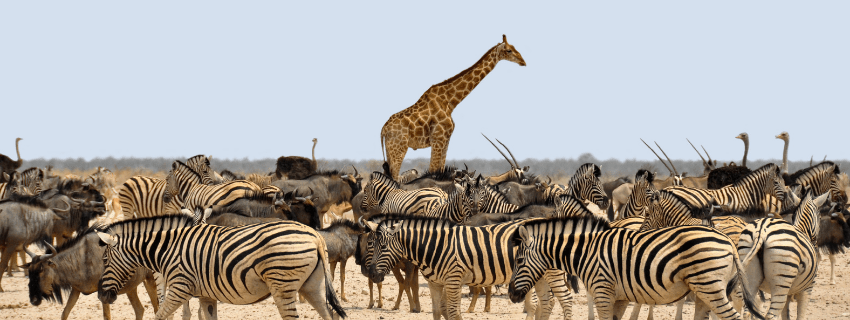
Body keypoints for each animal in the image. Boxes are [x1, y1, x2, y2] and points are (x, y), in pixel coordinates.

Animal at [362, 215, 548, 320]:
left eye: (383, 247)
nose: (372, 274)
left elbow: (453, 313)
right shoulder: (435, 283)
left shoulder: (453, 281)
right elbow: (437, 311)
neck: (436, 246)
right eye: (371, 245)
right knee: (540, 305)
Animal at [380, 36, 524, 180]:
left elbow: (440, 169)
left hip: (390, 150)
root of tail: (383, 130)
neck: (450, 102)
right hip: (399, 148)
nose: (523, 62)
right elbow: (432, 170)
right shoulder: (437, 139)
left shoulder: (446, 140)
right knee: (394, 177)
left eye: (515, 47)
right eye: (509, 50)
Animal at [504, 214, 760, 320]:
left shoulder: (602, 292)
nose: (511, 295)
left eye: (519, 261)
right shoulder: (619, 297)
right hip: (704, 291)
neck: (587, 250)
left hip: (709, 286)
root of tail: (729, 241)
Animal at [732, 190, 824, 320]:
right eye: (820, 217)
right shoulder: (807, 289)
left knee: (747, 313)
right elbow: (800, 316)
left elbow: (786, 315)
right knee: (771, 316)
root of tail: (761, 230)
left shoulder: (789, 293)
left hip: (749, 277)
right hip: (781, 282)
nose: (816, 243)